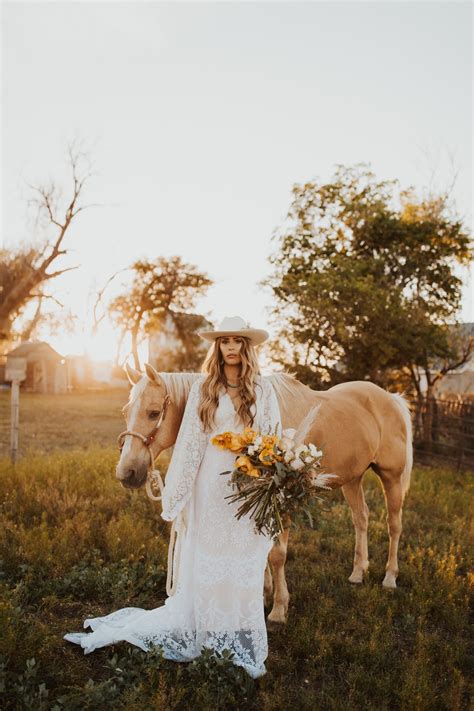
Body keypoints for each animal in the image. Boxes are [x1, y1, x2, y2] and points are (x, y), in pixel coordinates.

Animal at [116, 364, 412, 624]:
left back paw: (390, 577)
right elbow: (263, 550)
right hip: (353, 478)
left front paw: (279, 608)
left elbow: (277, 554)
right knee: (361, 519)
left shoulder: (282, 499)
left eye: (153, 413)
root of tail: (391, 399)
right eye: (126, 411)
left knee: (394, 525)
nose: (126, 473)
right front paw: (265, 595)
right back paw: (358, 572)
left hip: (391, 477)